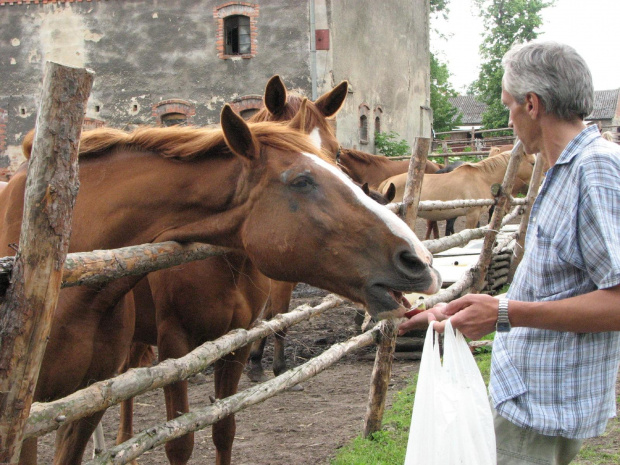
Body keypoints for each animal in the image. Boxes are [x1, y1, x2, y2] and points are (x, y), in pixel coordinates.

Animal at [4, 106, 440, 464]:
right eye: (301, 180)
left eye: (336, 155)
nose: (420, 261)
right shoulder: (173, 347)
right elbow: (179, 442)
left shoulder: (234, 342)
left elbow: (224, 428)